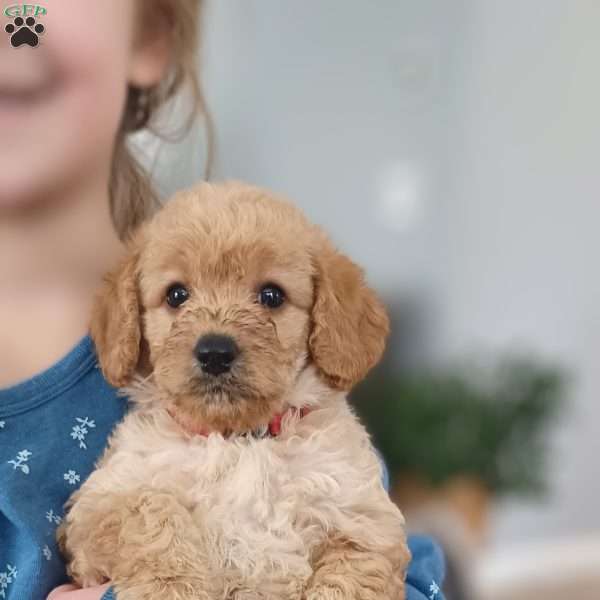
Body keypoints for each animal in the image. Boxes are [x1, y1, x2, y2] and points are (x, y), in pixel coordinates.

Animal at [58, 183, 410, 600]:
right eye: (176, 295)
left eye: (272, 295)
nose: (214, 352)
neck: (239, 439)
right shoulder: (98, 506)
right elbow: (151, 513)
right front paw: (177, 588)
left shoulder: (364, 524)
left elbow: (346, 581)